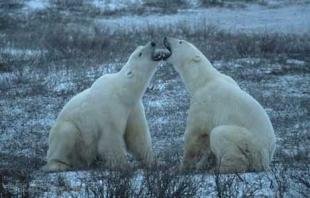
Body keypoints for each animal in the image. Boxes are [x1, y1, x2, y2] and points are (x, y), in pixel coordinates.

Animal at [43, 41, 167, 172]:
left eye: (140, 47)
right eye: (140, 53)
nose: (152, 43)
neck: (123, 92)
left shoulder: (133, 108)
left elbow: (137, 137)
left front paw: (156, 162)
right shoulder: (109, 109)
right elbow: (110, 138)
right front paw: (123, 165)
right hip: (66, 135)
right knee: (66, 132)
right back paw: (58, 164)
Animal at [163, 37, 278, 173]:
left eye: (180, 41)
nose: (166, 37)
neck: (202, 80)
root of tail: (266, 157)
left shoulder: (203, 102)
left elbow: (194, 134)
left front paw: (182, 166)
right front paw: (201, 164)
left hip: (248, 141)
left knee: (219, 135)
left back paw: (221, 168)